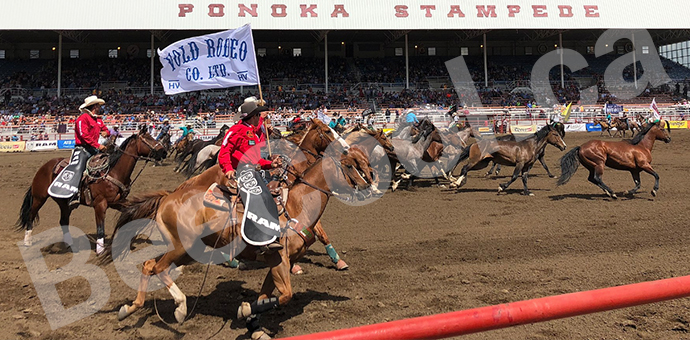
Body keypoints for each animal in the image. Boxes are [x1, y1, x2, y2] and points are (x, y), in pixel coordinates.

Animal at [15, 127, 167, 250]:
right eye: (148, 139)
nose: (164, 151)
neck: (113, 171)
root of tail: (43, 167)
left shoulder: (117, 202)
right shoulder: (100, 204)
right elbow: (100, 227)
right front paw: (100, 250)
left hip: (63, 202)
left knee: (63, 221)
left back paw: (69, 244)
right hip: (39, 198)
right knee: (31, 215)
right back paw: (27, 241)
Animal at [101, 124, 370, 338]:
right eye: (350, 165)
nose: (368, 184)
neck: (296, 204)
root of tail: (168, 197)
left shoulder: (275, 261)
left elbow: (265, 297)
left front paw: (254, 325)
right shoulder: (280, 259)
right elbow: (285, 295)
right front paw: (246, 311)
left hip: (188, 250)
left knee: (149, 265)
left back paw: (130, 309)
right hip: (181, 247)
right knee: (157, 268)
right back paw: (180, 307)